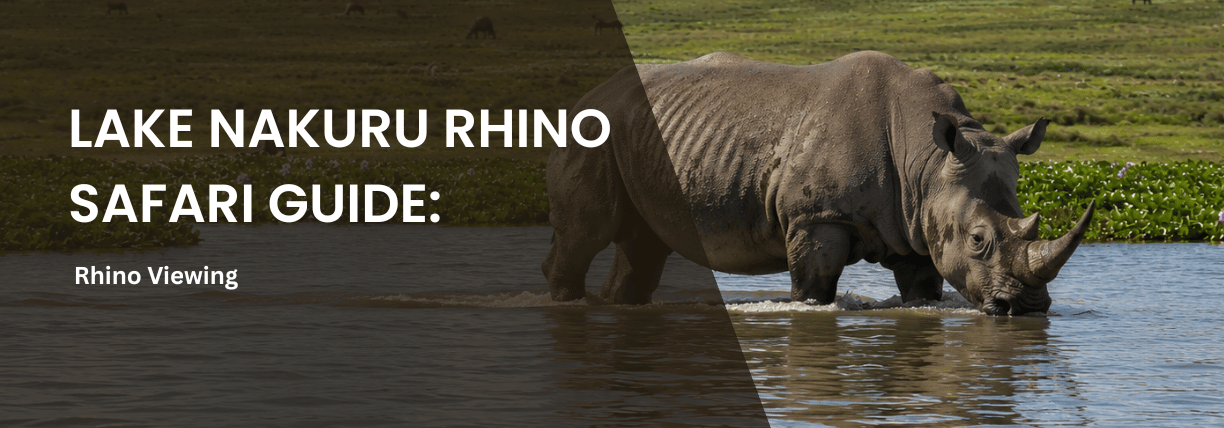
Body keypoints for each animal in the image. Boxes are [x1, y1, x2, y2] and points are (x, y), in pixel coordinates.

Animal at [543, 51, 1094, 316]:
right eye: (978, 240)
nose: (1026, 309)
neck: (927, 160)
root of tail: (588, 95)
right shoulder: (816, 218)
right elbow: (814, 288)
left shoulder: (919, 223)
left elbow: (922, 290)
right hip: (593, 132)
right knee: (585, 234)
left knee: (643, 246)